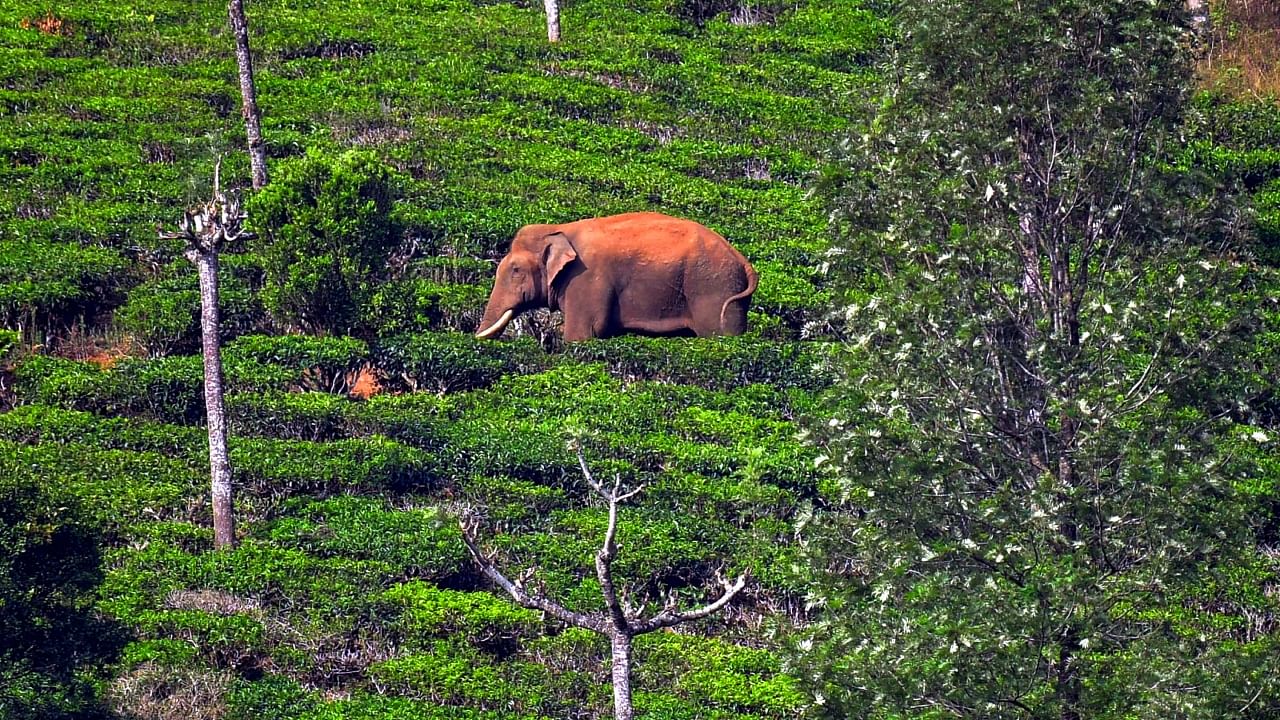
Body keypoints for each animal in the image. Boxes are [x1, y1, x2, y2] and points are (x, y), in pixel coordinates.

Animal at [481, 211, 757, 340]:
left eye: (516, 270)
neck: (559, 229)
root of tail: (744, 261)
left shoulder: (586, 280)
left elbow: (582, 335)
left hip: (714, 288)